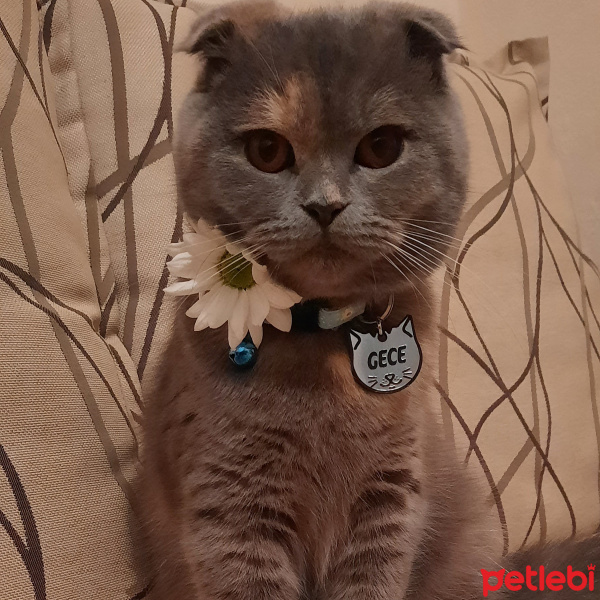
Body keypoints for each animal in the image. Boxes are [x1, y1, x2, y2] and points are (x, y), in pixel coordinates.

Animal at [142, 1, 600, 600]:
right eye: (266, 150)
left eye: (381, 147)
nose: (325, 205)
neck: (323, 348)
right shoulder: (230, 509)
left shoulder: (390, 498)